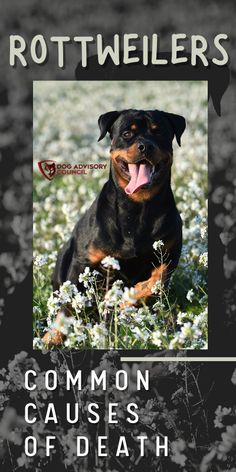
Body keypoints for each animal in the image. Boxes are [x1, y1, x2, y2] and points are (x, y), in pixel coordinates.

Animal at [43, 110, 185, 346]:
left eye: (158, 132)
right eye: (127, 133)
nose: (145, 146)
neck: (137, 207)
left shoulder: (169, 256)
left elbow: (153, 283)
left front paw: (125, 301)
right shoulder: (82, 262)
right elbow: (68, 305)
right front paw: (51, 338)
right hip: (65, 253)